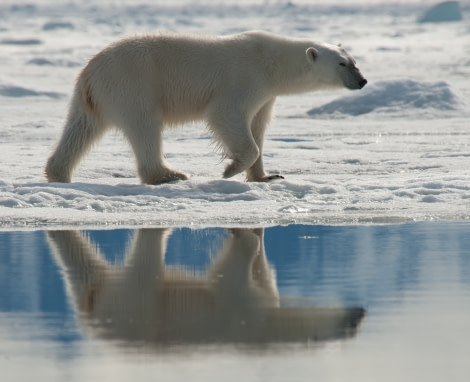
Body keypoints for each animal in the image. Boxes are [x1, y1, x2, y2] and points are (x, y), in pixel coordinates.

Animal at [45, 30, 368, 184]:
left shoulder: (266, 95)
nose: (363, 80)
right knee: (145, 126)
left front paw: (268, 176)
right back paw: (170, 175)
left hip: (93, 97)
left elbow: (258, 126)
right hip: (134, 83)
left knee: (80, 128)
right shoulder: (245, 79)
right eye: (342, 64)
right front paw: (229, 170)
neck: (271, 62)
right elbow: (227, 116)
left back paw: (58, 173)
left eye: (354, 60)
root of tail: (90, 71)